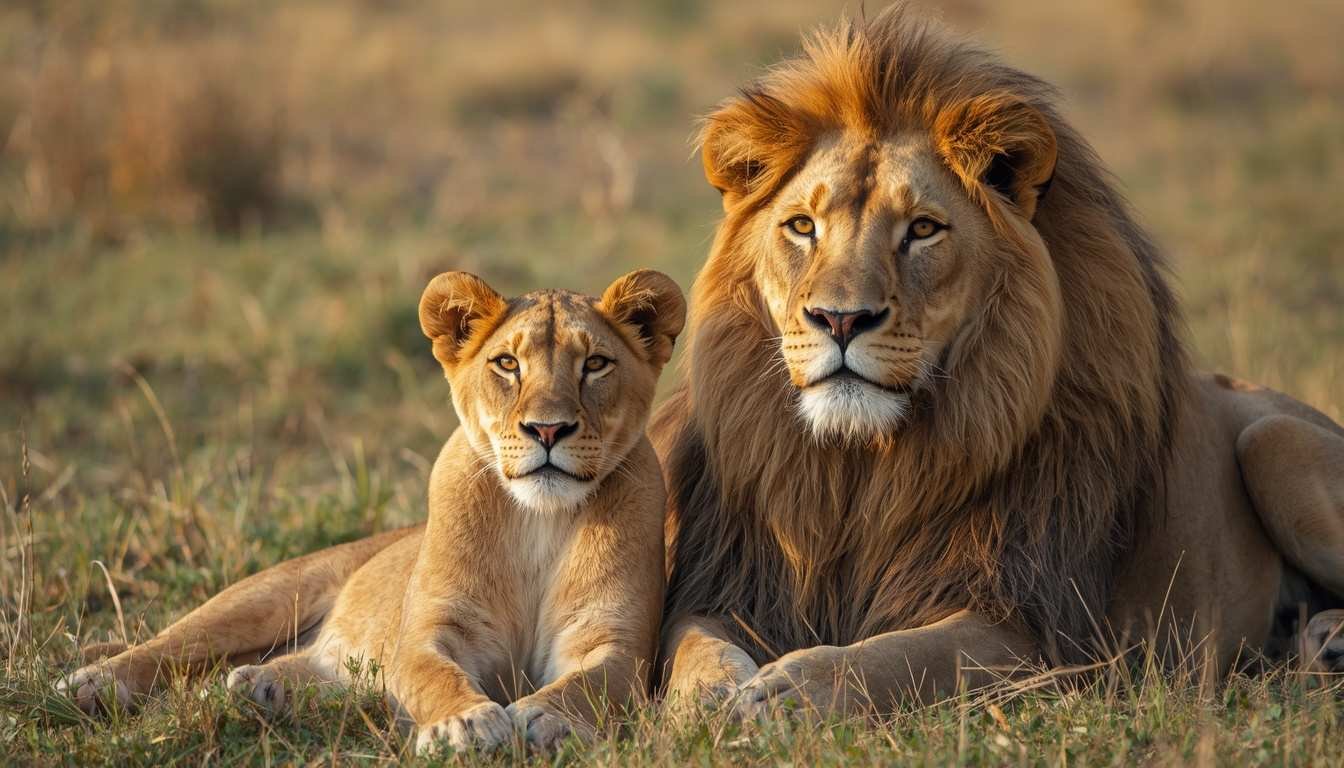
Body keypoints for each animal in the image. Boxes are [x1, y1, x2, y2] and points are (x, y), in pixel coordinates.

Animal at [59, 269, 685, 753]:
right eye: (507, 363)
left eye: (596, 364)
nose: (548, 429)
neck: (538, 520)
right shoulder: (433, 631)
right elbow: (433, 676)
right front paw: (464, 725)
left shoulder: (617, 644)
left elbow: (591, 683)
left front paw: (548, 718)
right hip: (265, 595)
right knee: (168, 649)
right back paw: (90, 685)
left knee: (307, 672)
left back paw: (261, 690)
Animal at [653, 6, 1344, 719]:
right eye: (801, 226)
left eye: (922, 229)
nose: (841, 320)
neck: (861, 468)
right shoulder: (729, 582)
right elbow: (691, 645)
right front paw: (711, 697)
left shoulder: (1032, 628)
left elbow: (898, 657)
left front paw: (792, 691)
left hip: (1276, 440)